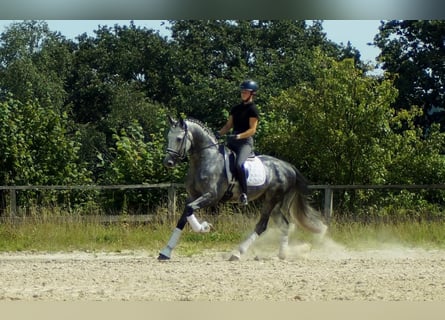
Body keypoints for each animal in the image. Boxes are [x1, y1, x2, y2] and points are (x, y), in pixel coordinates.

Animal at [157, 116, 326, 262]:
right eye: (168, 137)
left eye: (179, 139)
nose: (168, 162)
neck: (206, 159)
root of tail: (288, 166)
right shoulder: (193, 195)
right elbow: (184, 216)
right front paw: (165, 252)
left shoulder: (211, 196)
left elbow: (189, 209)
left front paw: (204, 227)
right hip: (275, 203)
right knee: (284, 224)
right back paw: (282, 255)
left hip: (272, 199)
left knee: (262, 225)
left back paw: (237, 253)